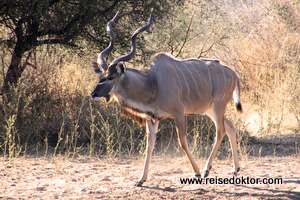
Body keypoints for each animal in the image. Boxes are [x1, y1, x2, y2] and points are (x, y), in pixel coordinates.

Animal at [90, 13, 243, 187]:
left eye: (110, 77)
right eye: (100, 76)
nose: (94, 94)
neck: (153, 83)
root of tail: (233, 74)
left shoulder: (178, 113)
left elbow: (182, 142)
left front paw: (197, 172)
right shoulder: (152, 119)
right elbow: (149, 146)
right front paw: (141, 179)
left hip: (218, 106)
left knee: (220, 131)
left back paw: (206, 170)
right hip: (209, 110)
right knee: (230, 128)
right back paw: (235, 169)